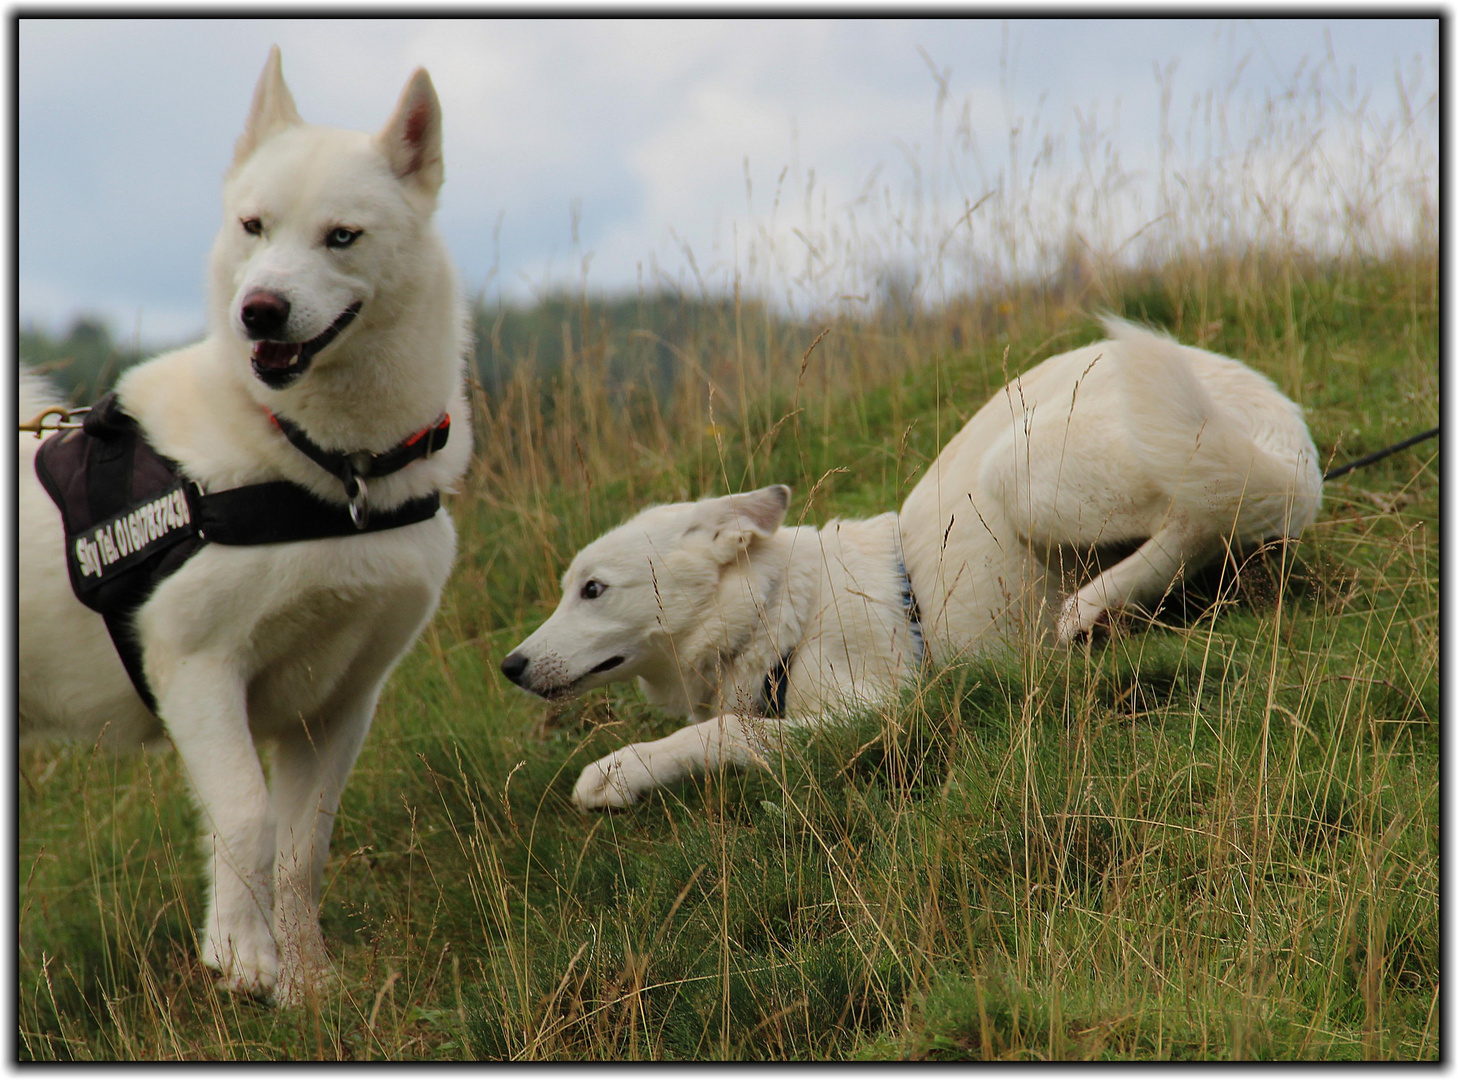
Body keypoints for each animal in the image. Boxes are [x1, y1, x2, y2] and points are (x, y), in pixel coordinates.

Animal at [18, 46, 472, 996]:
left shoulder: (340, 703)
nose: (258, 310)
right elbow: (248, 821)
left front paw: (305, 984)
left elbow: (303, 848)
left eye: (342, 236)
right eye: (253, 226)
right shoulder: (196, 668)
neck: (325, 470)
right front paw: (244, 958)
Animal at [501, 320, 1323, 810]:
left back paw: (1098, 602)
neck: (781, 612)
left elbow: (722, 735)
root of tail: (1284, 429)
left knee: (1200, 517)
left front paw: (619, 771)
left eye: (593, 590)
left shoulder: (880, 712)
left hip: (1024, 466)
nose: (509, 666)